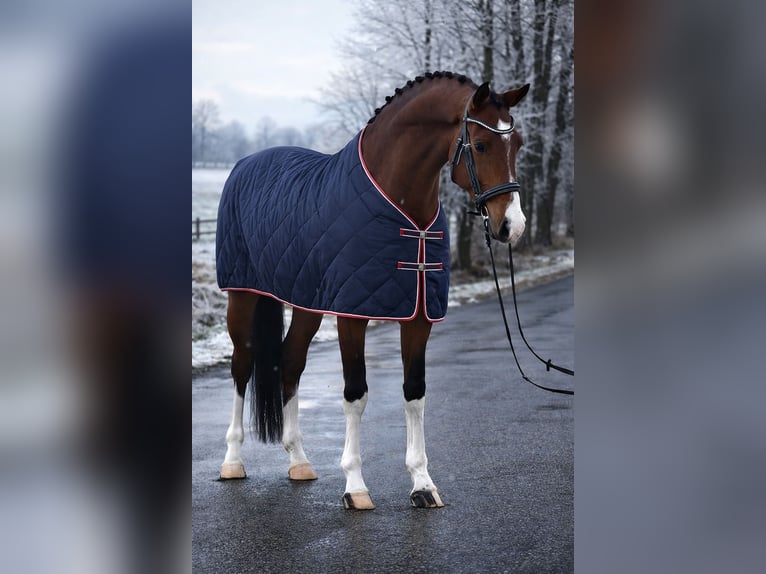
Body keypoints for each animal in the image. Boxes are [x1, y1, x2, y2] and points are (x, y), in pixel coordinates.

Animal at [215, 71, 529, 510]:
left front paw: (422, 484)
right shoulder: (352, 315)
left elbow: (415, 392)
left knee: (290, 362)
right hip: (242, 296)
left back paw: (299, 461)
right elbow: (356, 393)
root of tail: (245, 163)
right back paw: (232, 460)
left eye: (517, 144)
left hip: (307, 302)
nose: (512, 226)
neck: (401, 205)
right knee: (242, 367)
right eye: (481, 144)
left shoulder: (418, 314)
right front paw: (355, 486)